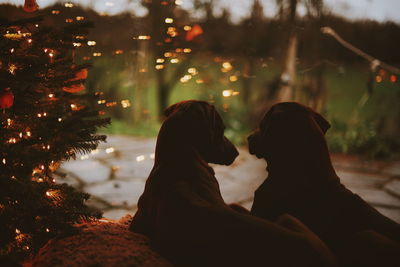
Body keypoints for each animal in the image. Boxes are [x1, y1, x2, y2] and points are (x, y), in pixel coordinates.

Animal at [130, 100, 336, 267]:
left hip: (286, 218)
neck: (182, 158)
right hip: (286, 218)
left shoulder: (137, 223)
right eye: (221, 129)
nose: (237, 152)